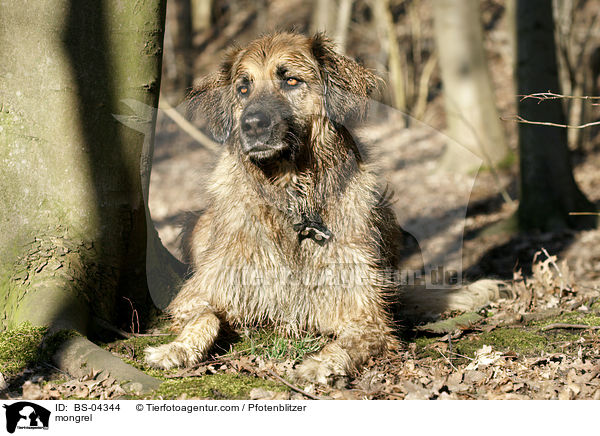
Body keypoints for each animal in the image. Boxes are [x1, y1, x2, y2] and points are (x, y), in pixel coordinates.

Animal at [143, 32, 500, 384]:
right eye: (243, 88)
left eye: (291, 81)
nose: (252, 125)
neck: (294, 204)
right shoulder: (200, 293)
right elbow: (205, 317)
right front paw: (175, 349)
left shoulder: (365, 312)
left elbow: (355, 339)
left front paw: (321, 364)